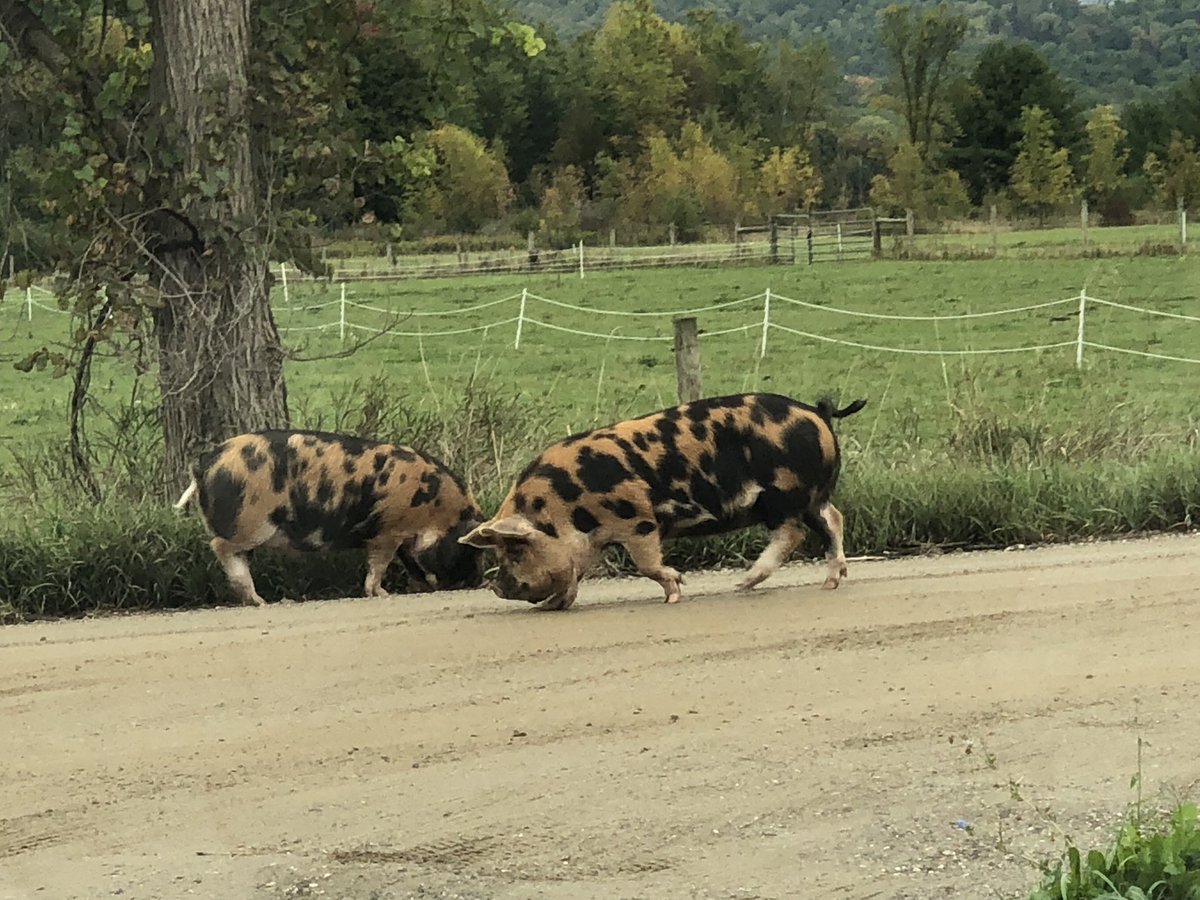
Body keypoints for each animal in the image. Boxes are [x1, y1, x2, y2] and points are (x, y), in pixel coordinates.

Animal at [174, 430, 485, 606]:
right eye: (470, 550)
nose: (478, 581)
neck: (436, 506)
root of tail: (206, 462)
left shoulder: (401, 537)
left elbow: (409, 565)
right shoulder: (388, 532)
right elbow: (378, 566)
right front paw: (383, 594)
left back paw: (259, 601)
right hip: (250, 523)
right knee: (220, 546)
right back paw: (260, 601)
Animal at [460, 393, 866, 610]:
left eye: (515, 549)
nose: (497, 587)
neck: (565, 506)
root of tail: (816, 412)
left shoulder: (638, 518)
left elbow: (646, 564)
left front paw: (675, 590)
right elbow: (575, 575)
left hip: (784, 494)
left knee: (795, 533)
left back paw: (742, 584)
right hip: (810, 496)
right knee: (833, 519)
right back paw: (830, 582)